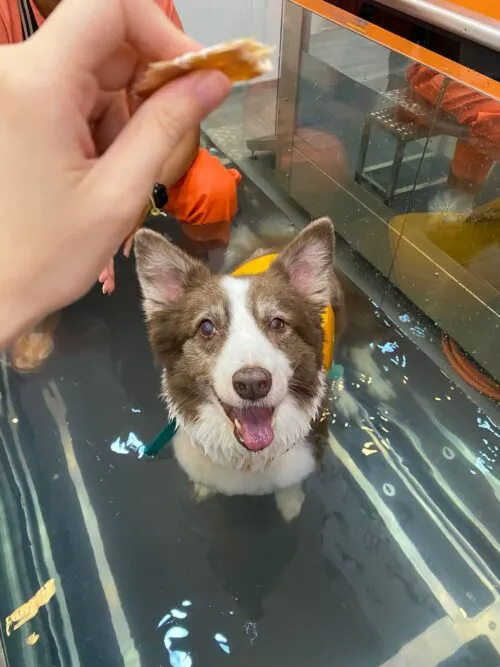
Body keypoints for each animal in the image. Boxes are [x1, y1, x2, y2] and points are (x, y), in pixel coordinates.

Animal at [133, 219, 344, 520]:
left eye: (278, 323)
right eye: (206, 327)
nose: (253, 384)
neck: (248, 459)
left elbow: (290, 484)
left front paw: (290, 503)